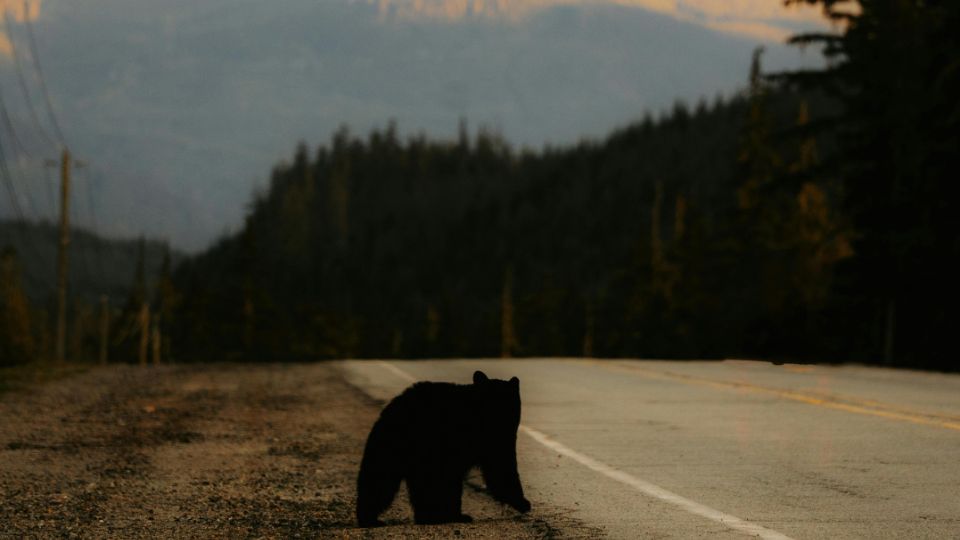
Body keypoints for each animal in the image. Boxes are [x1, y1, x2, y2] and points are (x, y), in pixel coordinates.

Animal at [356, 370, 531, 527]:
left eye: (503, 401)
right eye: (488, 398)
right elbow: (500, 467)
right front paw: (523, 503)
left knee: (386, 477)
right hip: (415, 446)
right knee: (391, 478)